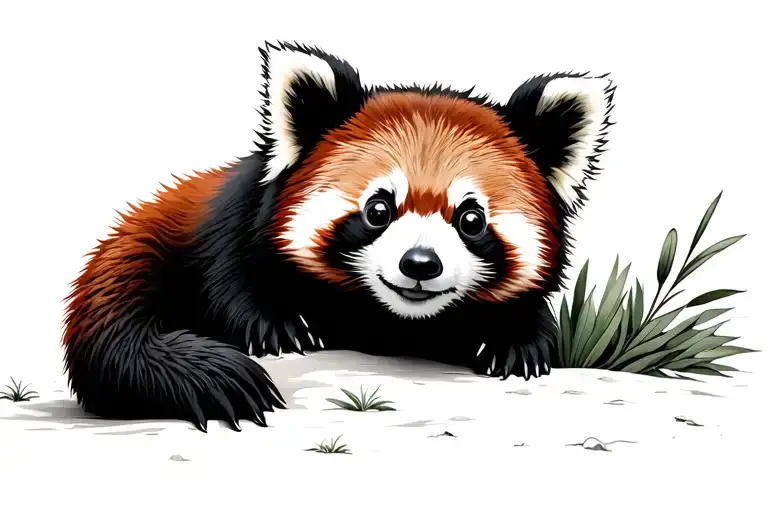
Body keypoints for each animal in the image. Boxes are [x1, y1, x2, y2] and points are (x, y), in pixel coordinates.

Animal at [62, 41, 615, 432]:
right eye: (378, 209)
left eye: (471, 219)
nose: (420, 263)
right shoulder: (223, 234)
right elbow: (231, 284)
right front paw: (278, 329)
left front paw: (515, 344)